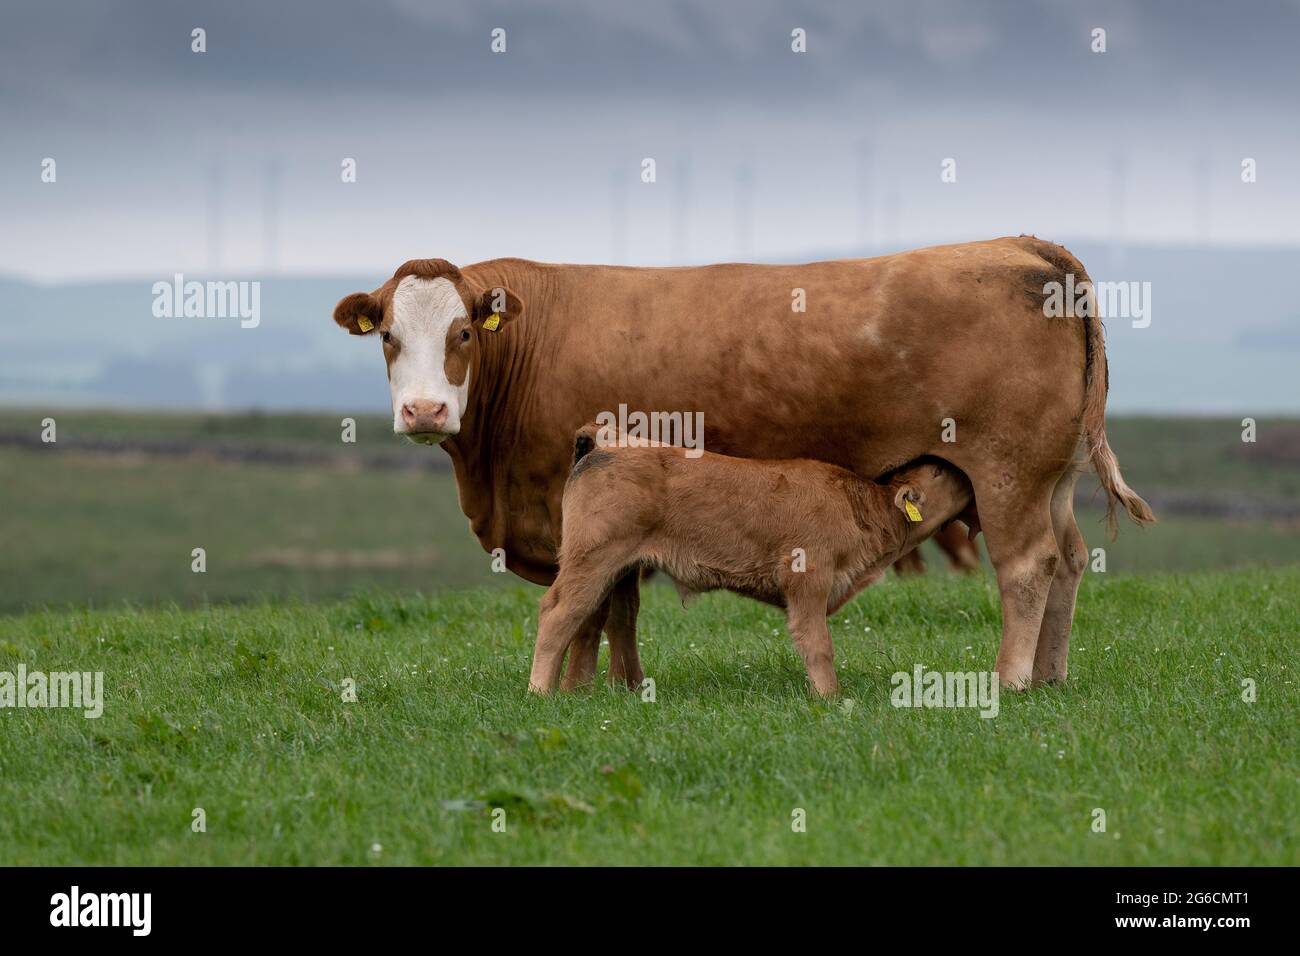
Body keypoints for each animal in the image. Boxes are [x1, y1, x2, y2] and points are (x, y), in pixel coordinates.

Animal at [530, 426, 977, 697]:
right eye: (938, 471)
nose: (966, 473)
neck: (860, 509)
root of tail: (604, 443)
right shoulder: (807, 582)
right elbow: (818, 644)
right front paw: (830, 698)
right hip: (591, 561)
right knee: (558, 613)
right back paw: (540, 691)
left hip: (619, 571)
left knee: (610, 619)